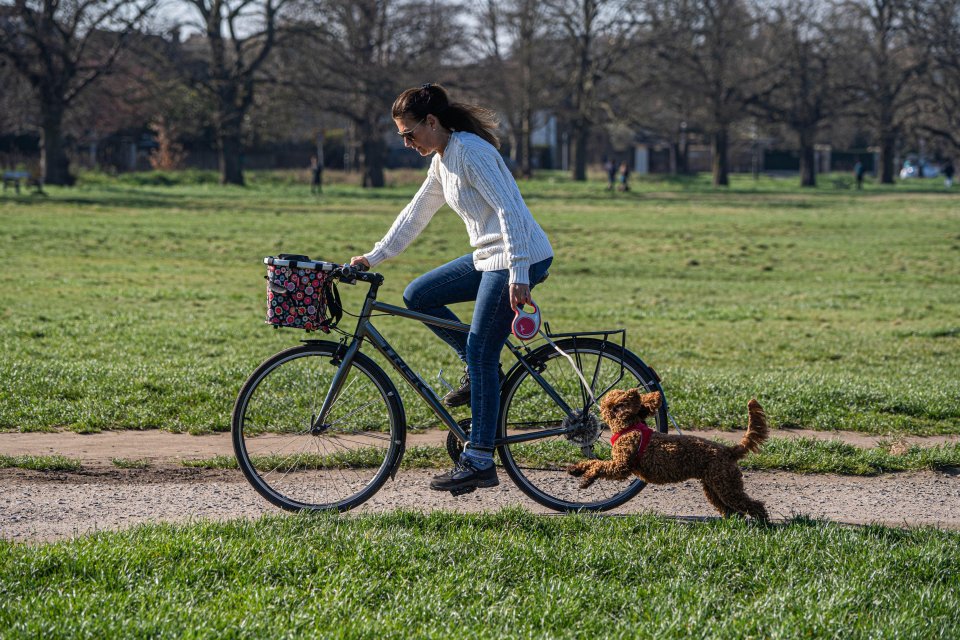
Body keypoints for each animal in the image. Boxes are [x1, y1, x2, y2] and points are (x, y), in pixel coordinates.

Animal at [568, 390, 768, 520]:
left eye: (608, 399)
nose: (597, 402)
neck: (628, 428)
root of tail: (729, 450)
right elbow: (592, 462)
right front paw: (575, 469)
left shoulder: (621, 466)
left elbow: (599, 465)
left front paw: (587, 479)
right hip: (714, 486)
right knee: (730, 508)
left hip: (727, 485)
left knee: (754, 505)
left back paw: (762, 523)